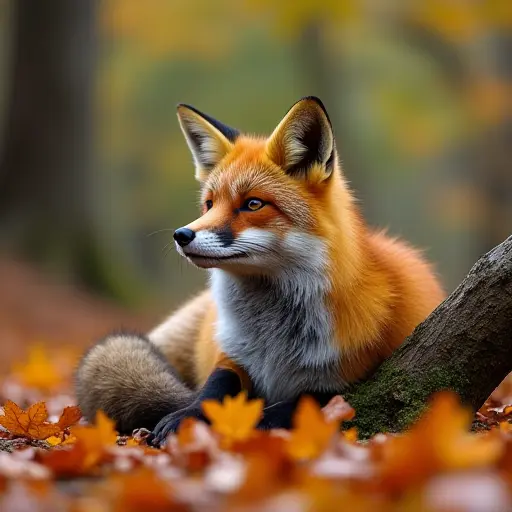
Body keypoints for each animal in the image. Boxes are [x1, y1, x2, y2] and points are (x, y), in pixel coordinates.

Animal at [75, 98, 444, 446]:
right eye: (209, 204)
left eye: (253, 204)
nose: (181, 235)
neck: (273, 338)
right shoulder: (232, 352)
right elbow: (214, 388)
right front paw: (186, 415)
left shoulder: (349, 379)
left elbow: (289, 406)